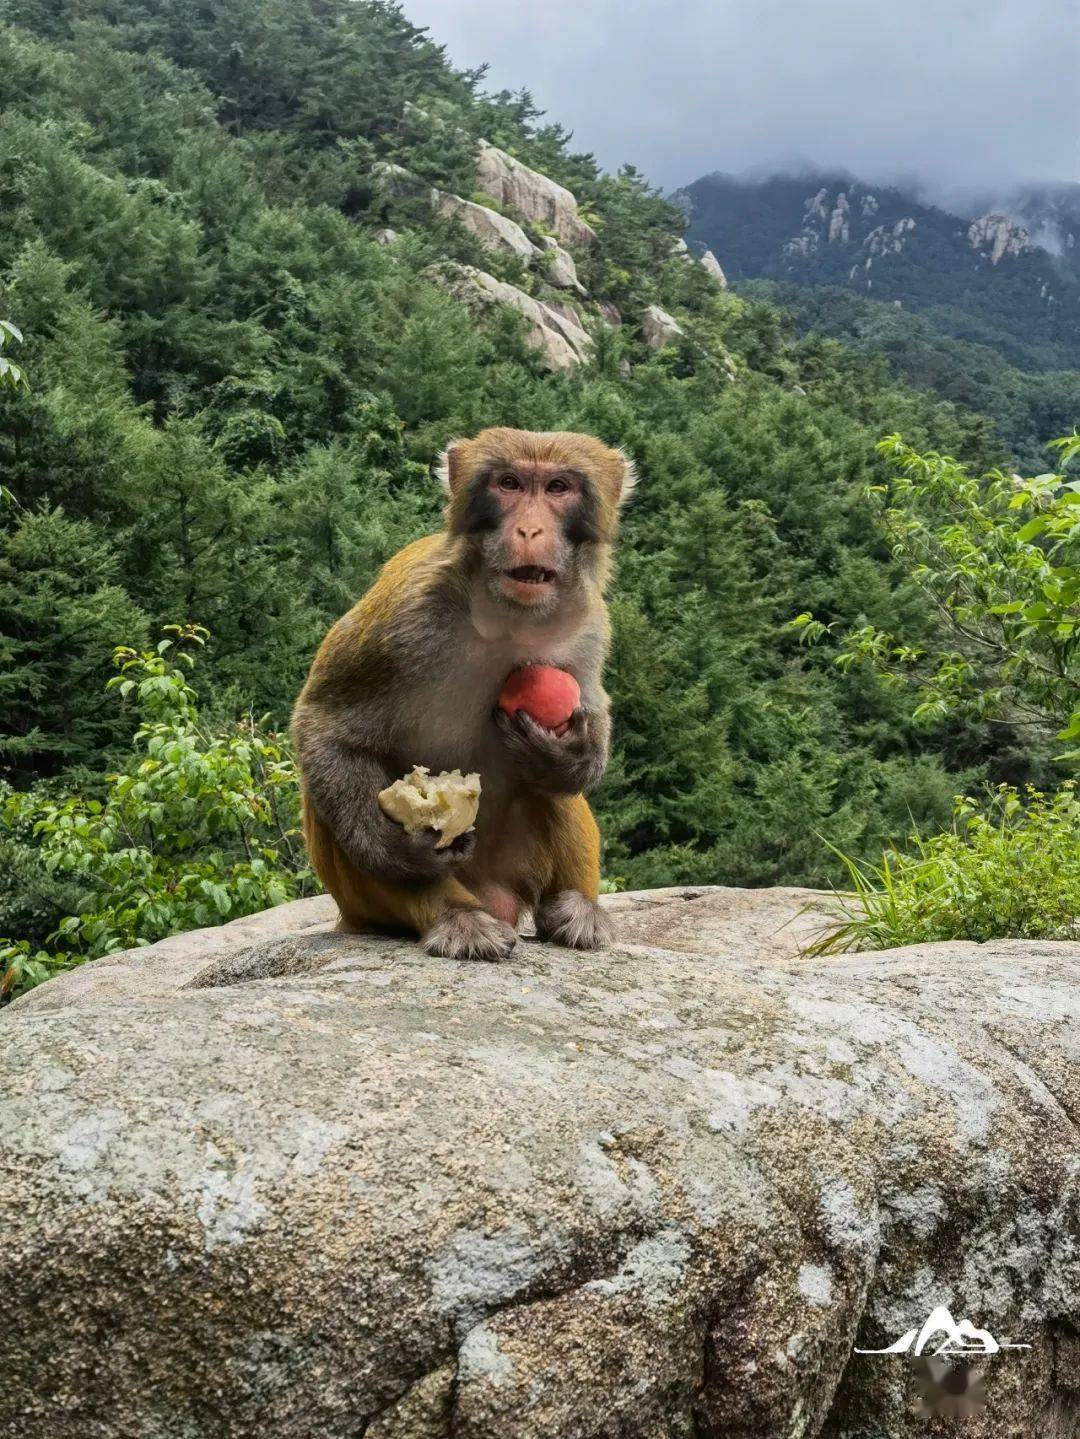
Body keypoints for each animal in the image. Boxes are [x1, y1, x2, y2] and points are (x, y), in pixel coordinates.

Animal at [291, 425, 638, 967]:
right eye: (509, 483)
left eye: (558, 487)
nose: (530, 531)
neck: (507, 620)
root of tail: (496, 897)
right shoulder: (405, 612)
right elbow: (325, 725)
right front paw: (395, 849)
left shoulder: (590, 622)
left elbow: (590, 715)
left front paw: (570, 754)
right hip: (369, 901)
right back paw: (454, 916)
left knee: (549, 789)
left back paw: (574, 905)